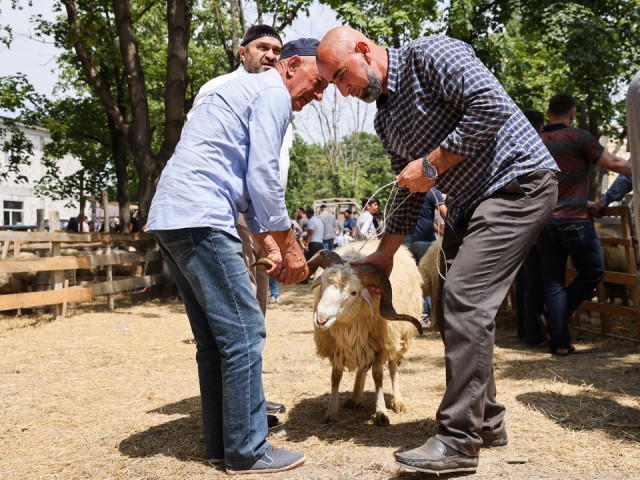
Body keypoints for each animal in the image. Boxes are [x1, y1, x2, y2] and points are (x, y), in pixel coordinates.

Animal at [306, 242, 424, 426]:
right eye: (323, 284)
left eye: (354, 292)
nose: (321, 320)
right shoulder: (337, 348)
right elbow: (335, 377)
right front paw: (331, 413)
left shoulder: (381, 346)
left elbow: (378, 377)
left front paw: (381, 413)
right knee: (363, 367)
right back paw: (355, 398)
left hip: (398, 339)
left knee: (393, 367)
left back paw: (398, 401)